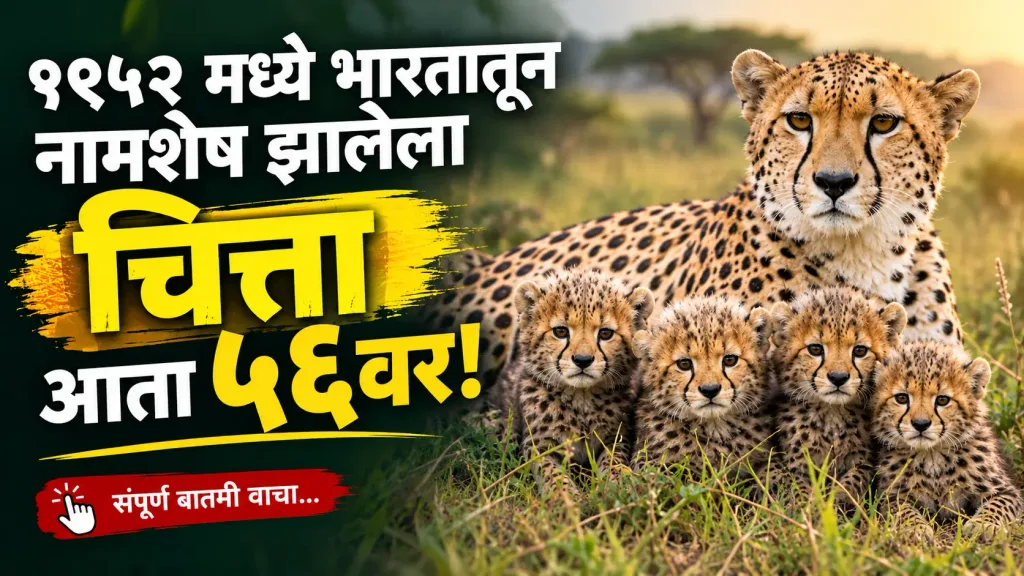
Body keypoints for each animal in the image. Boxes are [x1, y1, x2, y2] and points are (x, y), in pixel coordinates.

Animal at [497, 268, 654, 496]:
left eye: (605, 333)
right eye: (560, 331)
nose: (582, 360)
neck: (582, 398)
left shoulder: (617, 438)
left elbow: (615, 461)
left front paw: (619, 484)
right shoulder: (538, 445)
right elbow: (551, 472)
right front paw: (565, 496)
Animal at [770, 287, 907, 510]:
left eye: (860, 350)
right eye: (815, 349)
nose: (838, 377)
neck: (832, 413)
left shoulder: (865, 462)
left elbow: (853, 480)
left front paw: (837, 501)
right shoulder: (796, 462)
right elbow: (797, 485)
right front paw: (807, 505)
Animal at [872, 340, 1022, 542]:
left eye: (942, 400)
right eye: (901, 398)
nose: (920, 424)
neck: (932, 455)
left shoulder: (1007, 491)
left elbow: (998, 504)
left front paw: (983, 525)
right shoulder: (890, 495)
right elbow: (902, 510)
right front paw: (915, 528)